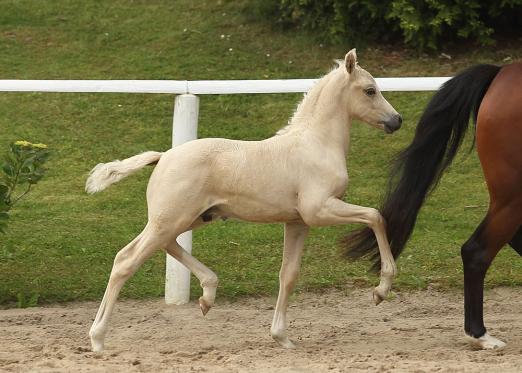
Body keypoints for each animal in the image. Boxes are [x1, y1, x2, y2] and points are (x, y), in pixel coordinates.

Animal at [85, 50, 402, 352]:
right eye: (370, 90)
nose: (396, 121)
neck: (315, 144)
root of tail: (163, 157)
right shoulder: (319, 210)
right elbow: (375, 216)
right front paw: (381, 290)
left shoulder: (297, 221)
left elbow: (289, 274)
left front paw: (281, 337)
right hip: (170, 220)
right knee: (126, 260)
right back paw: (98, 339)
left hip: (187, 219)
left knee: (162, 247)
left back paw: (207, 295)